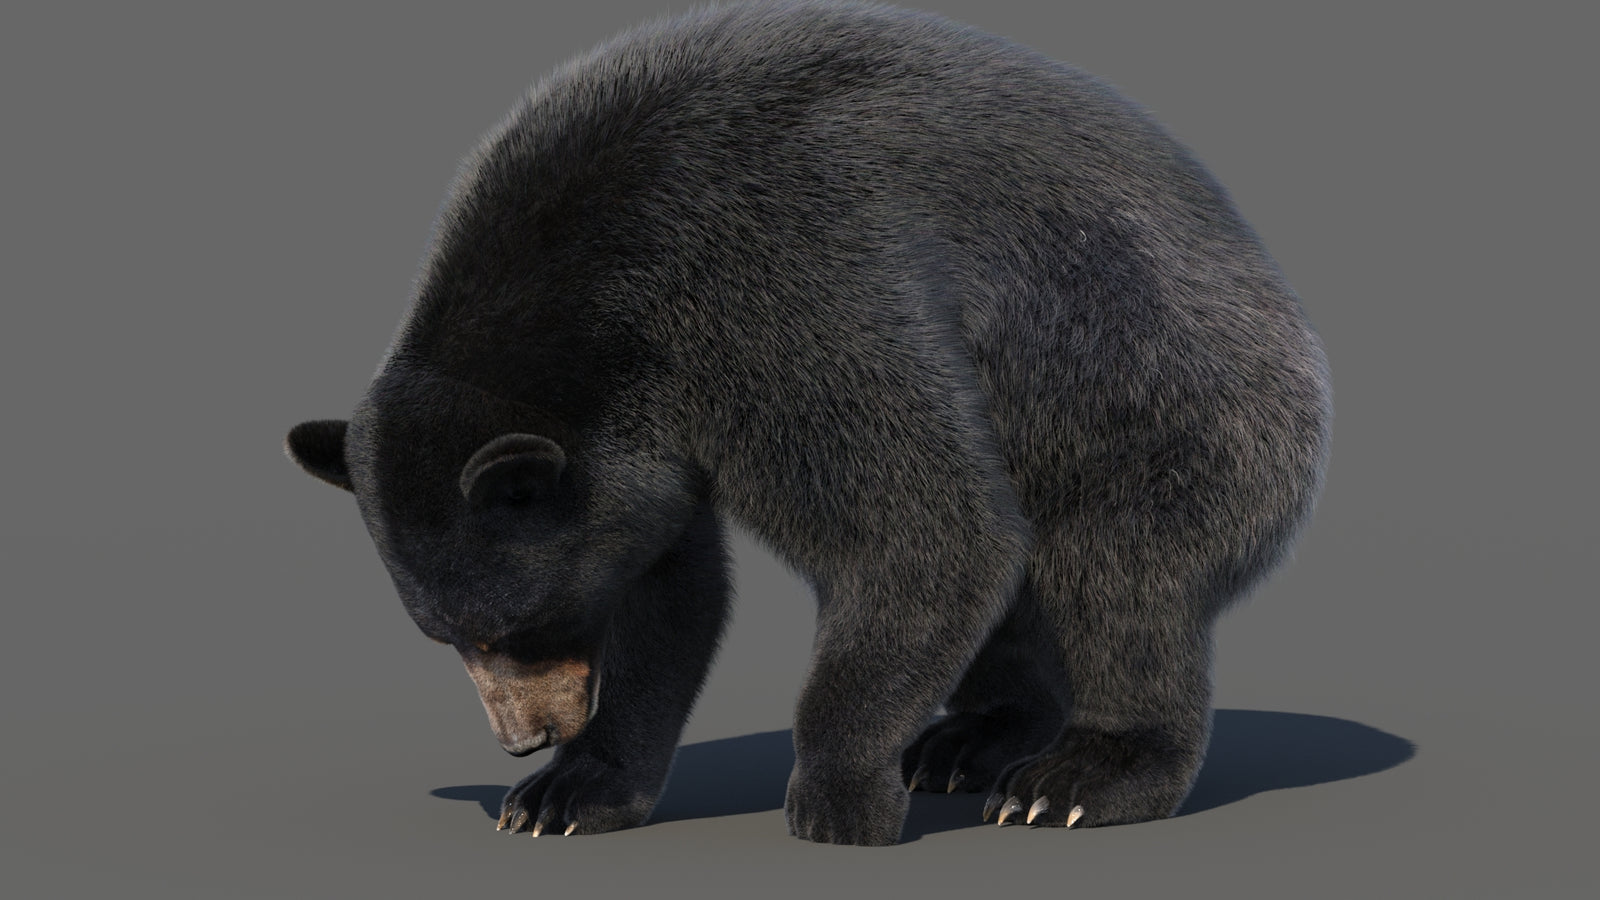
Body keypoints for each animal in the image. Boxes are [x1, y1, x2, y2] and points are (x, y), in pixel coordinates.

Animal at [285, 0, 1331, 846]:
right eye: (445, 635)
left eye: (518, 625)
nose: (523, 738)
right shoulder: (643, 429)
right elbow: (670, 586)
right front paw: (567, 794)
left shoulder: (779, 285)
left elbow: (922, 527)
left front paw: (837, 796)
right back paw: (970, 739)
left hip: (1161, 396)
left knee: (1120, 575)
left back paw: (1077, 777)